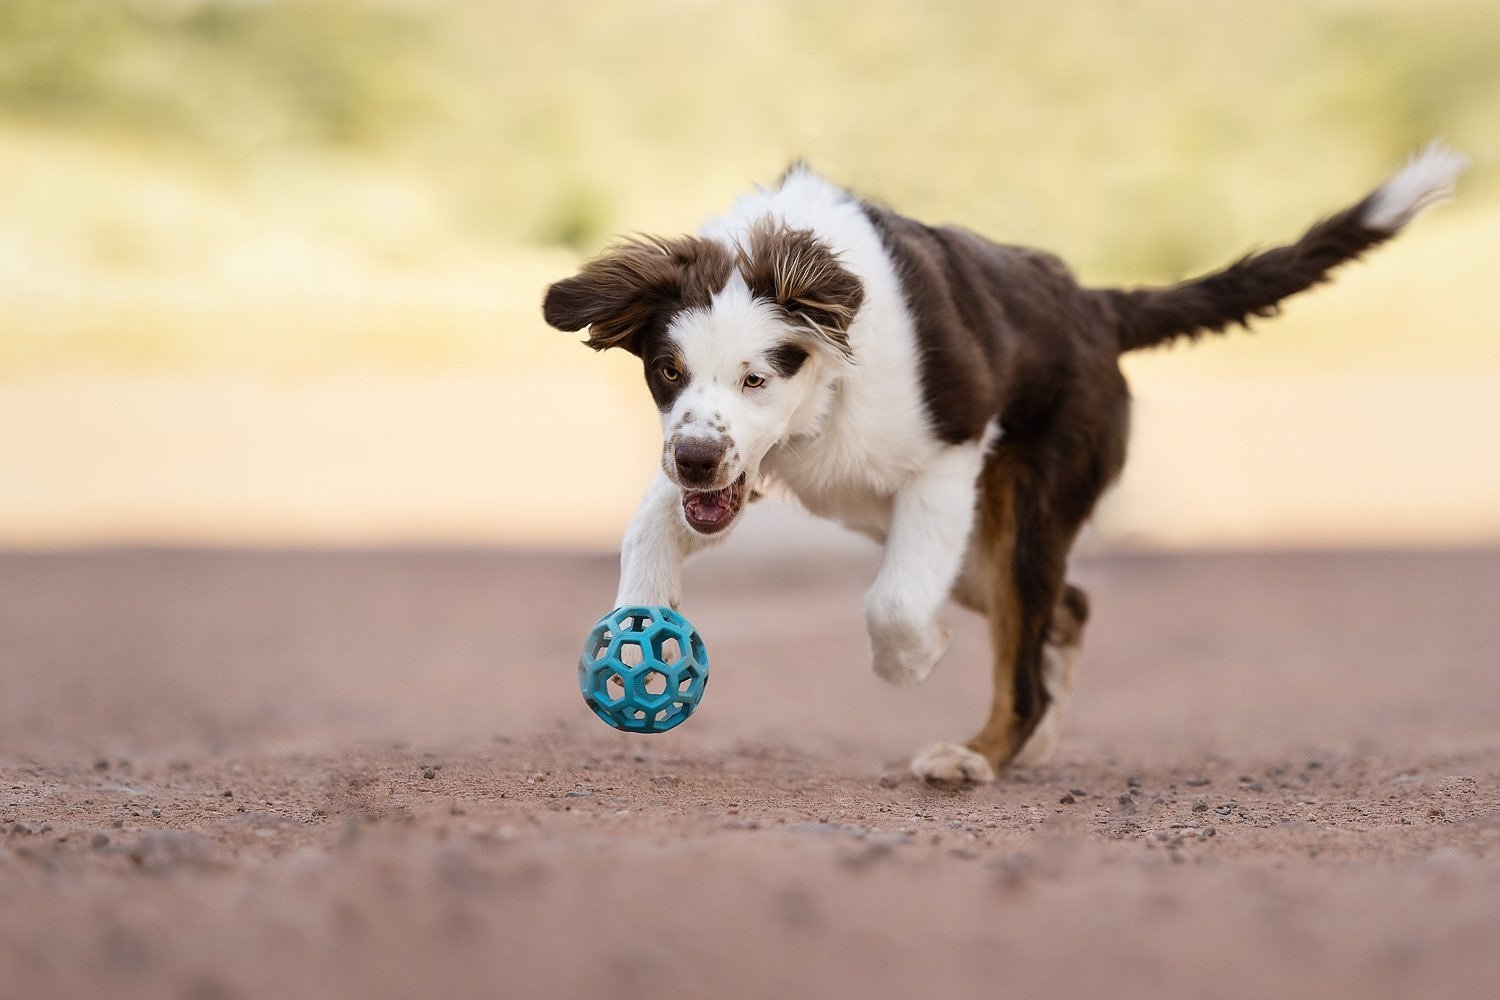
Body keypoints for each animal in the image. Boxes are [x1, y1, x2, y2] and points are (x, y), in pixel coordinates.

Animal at [540, 142, 1464, 779]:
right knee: (1069, 606)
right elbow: (651, 526)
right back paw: (1034, 735)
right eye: (667, 372)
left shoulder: (948, 457)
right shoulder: (735, 467)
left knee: (1027, 641)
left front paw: (910, 661)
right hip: (954, 537)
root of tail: (1094, 305)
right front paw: (642, 615)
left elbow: (893, 604)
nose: (696, 462)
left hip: (1018, 507)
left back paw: (982, 753)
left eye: (757, 378)